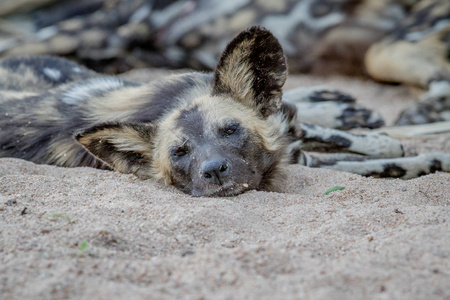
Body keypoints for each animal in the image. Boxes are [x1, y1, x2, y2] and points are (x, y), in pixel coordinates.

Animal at [0, 26, 450, 197]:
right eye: (179, 153)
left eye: (230, 130)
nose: (214, 171)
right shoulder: (300, 159)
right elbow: (380, 165)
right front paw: (423, 159)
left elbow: (346, 141)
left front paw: (384, 140)